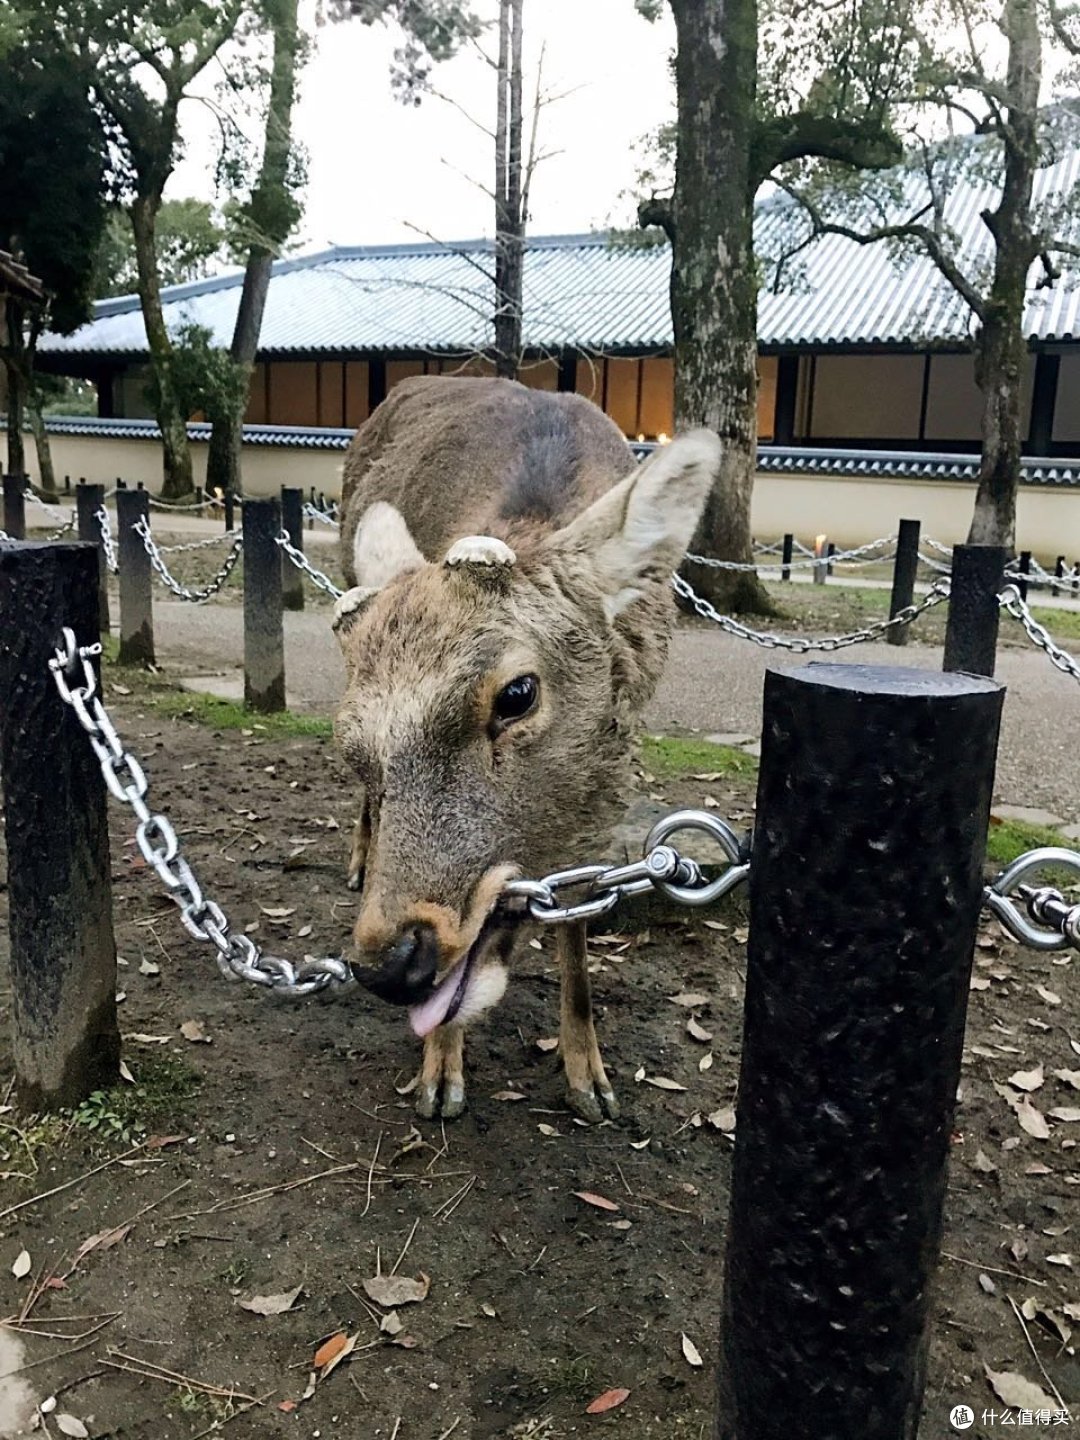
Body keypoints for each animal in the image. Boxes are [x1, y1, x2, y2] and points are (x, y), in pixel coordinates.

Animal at [329, 374, 720, 1123]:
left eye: (517, 694)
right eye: (350, 744)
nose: (388, 963)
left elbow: (579, 926)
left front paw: (590, 1080)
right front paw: (440, 1075)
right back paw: (360, 857)